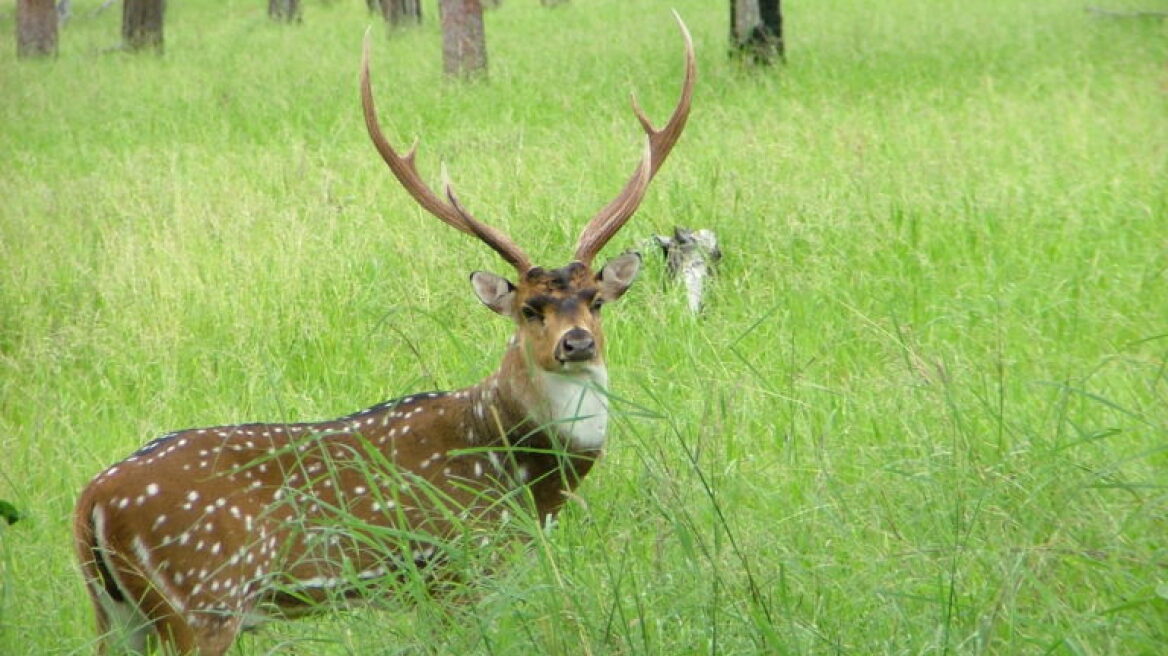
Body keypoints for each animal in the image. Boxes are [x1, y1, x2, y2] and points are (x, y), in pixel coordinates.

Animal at [70, 15, 691, 653]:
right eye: (528, 309)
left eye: (595, 300)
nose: (578, 343)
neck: (517, 472)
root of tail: (89, 504)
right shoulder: (451, 563)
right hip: (202, 599)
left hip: (118, 616)